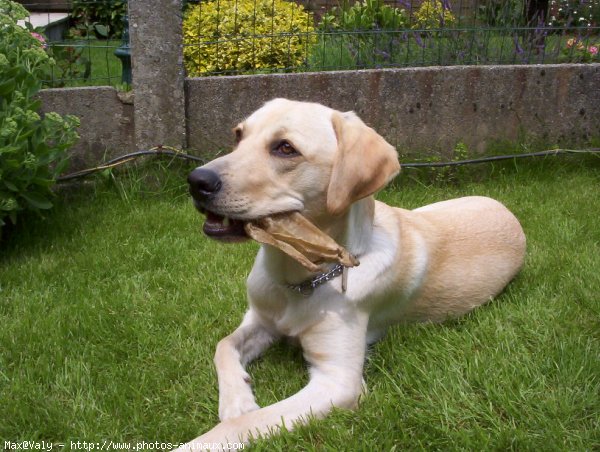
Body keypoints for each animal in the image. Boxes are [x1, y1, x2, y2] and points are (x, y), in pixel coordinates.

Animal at [183, 98, 524, 448]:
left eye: (286, 148)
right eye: (238, 135)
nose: (196, 180)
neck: (300, 279)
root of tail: (508, 211)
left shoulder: (338, 382)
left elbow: (241, 425)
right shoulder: (260, 320)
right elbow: (223, 345)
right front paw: (237, 400)